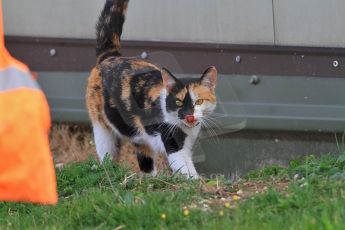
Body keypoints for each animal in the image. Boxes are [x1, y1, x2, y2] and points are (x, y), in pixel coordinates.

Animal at [86, 0, 216, 178]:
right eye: (178, 102)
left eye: (199, 101)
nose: (189, 115)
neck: (185, 130)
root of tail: (110, 57)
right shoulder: (172, 142)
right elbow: (183, 167)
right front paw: (193, 181)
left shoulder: (187, 145)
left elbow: (189, 164)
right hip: (102, 130)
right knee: (107, 157)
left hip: (139, 138)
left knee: (145, 160)